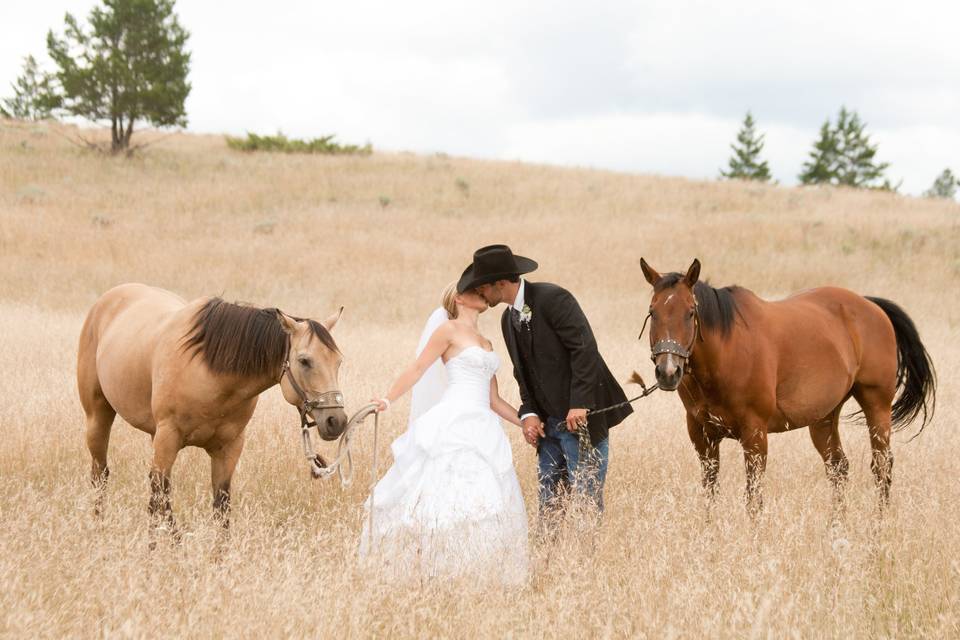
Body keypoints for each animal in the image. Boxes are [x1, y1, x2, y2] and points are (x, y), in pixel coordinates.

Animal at [78, 284, 348, 536]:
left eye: (339, 361)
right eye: (304, 361)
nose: (336, 420)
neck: (209, 371)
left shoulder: (229, 448)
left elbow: (221, 508)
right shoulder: (168, 438)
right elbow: (162, 499)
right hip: (98, 418)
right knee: (101, 474)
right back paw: (98, 525)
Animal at [640, 258, 932, 512]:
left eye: (690, 313)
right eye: (652, 313)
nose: (668, 372)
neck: (726, 352)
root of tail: (871, 306)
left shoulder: (755, 434)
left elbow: (753, 498)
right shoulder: (703, 436)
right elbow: (710, 493)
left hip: (876, 405)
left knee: (882, 465)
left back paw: (878, 524)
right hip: (824, 418)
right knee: (838, 467)